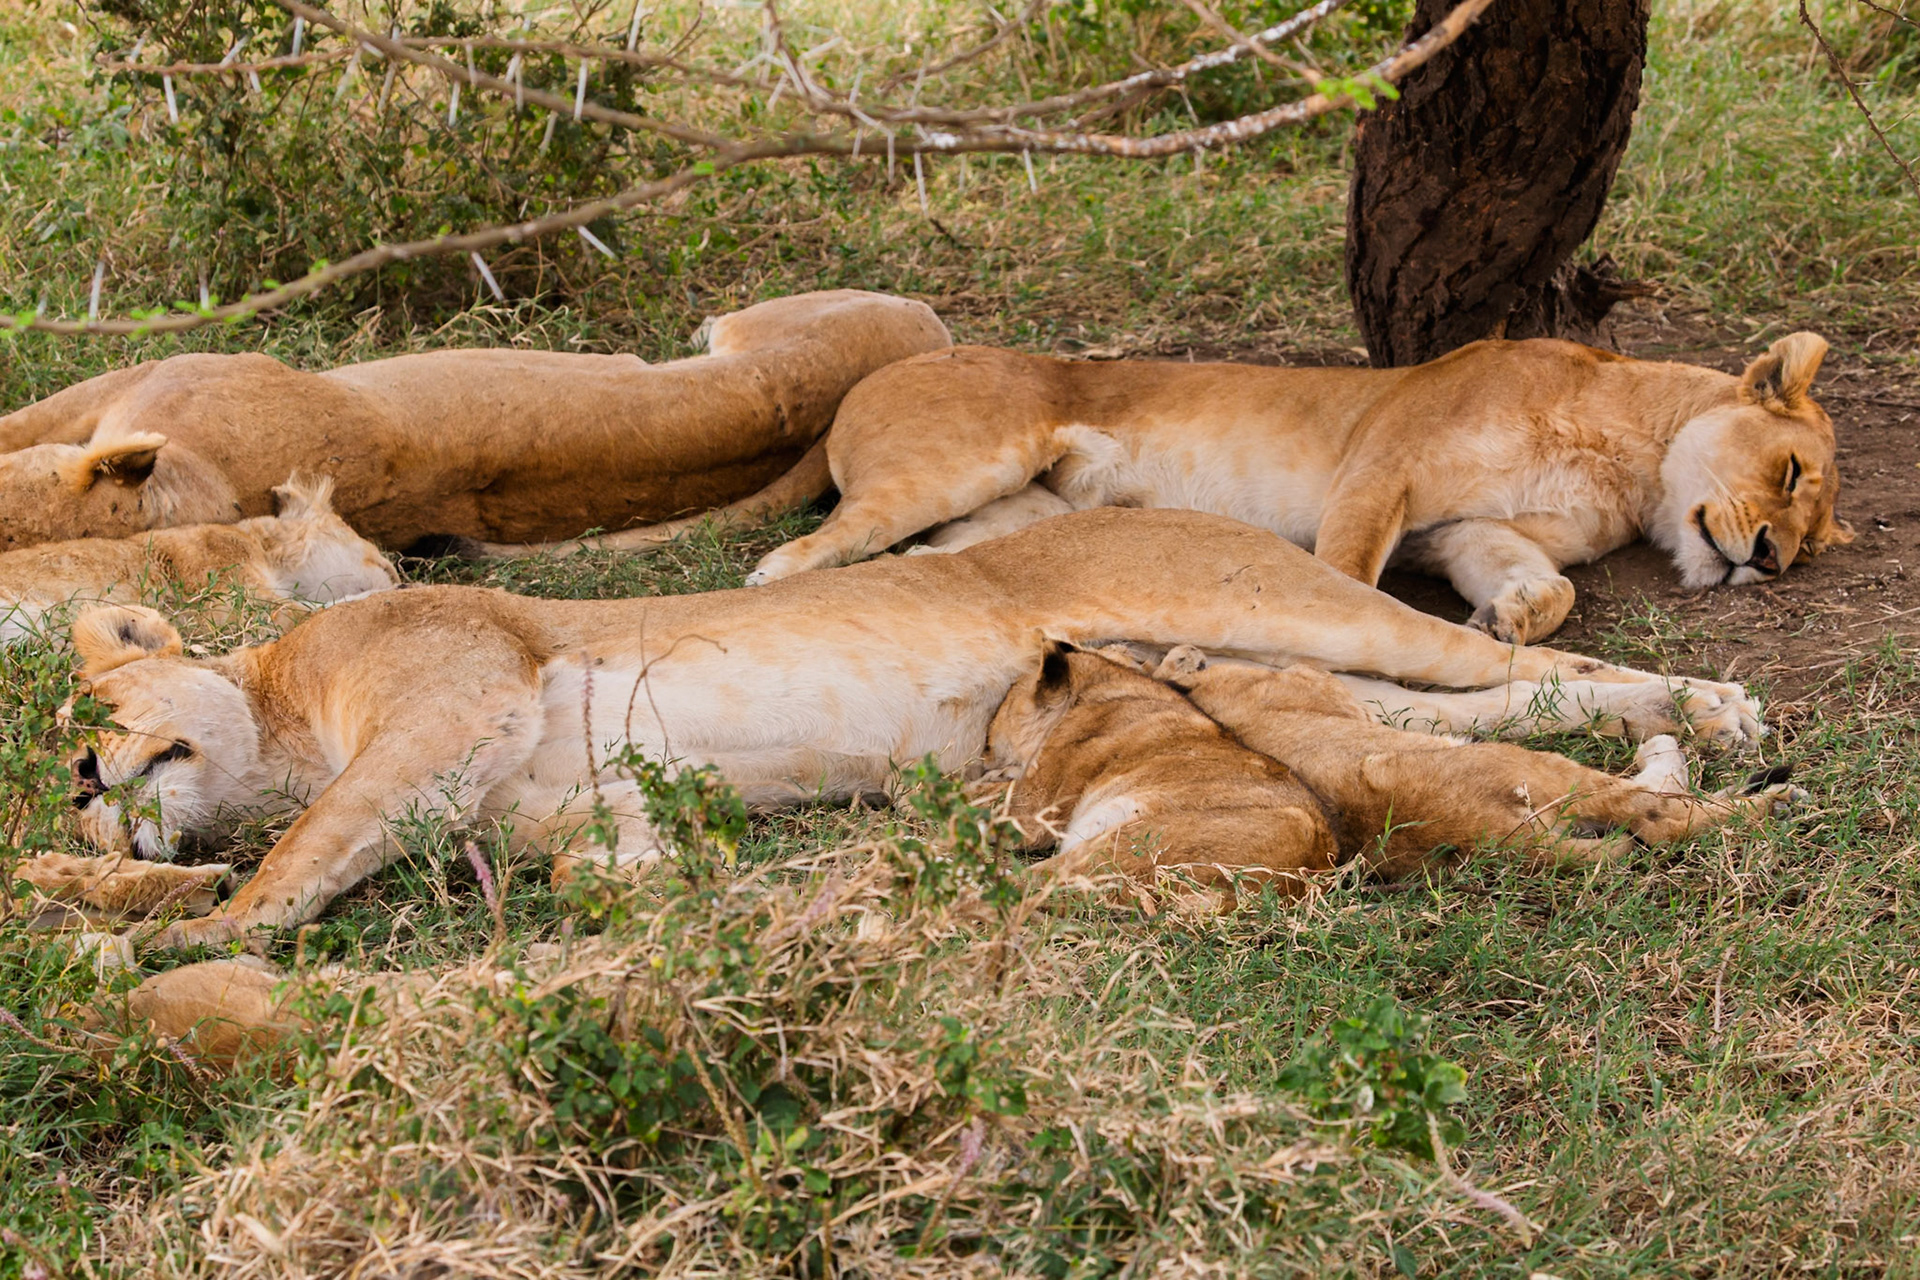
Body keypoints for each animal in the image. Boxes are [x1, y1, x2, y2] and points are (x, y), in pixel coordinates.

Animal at [733, 332, 1851, 643]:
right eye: (1790, 472)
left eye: (1813, 537)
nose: (1769, 558)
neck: (1627, 459)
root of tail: (874, 375)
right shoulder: (1381, 468)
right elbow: (1348, 577)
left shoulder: (1461, 529)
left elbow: (1551, 582)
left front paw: (1512, 619)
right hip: (956, 461)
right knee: (798, 552)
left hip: (1013, 508)